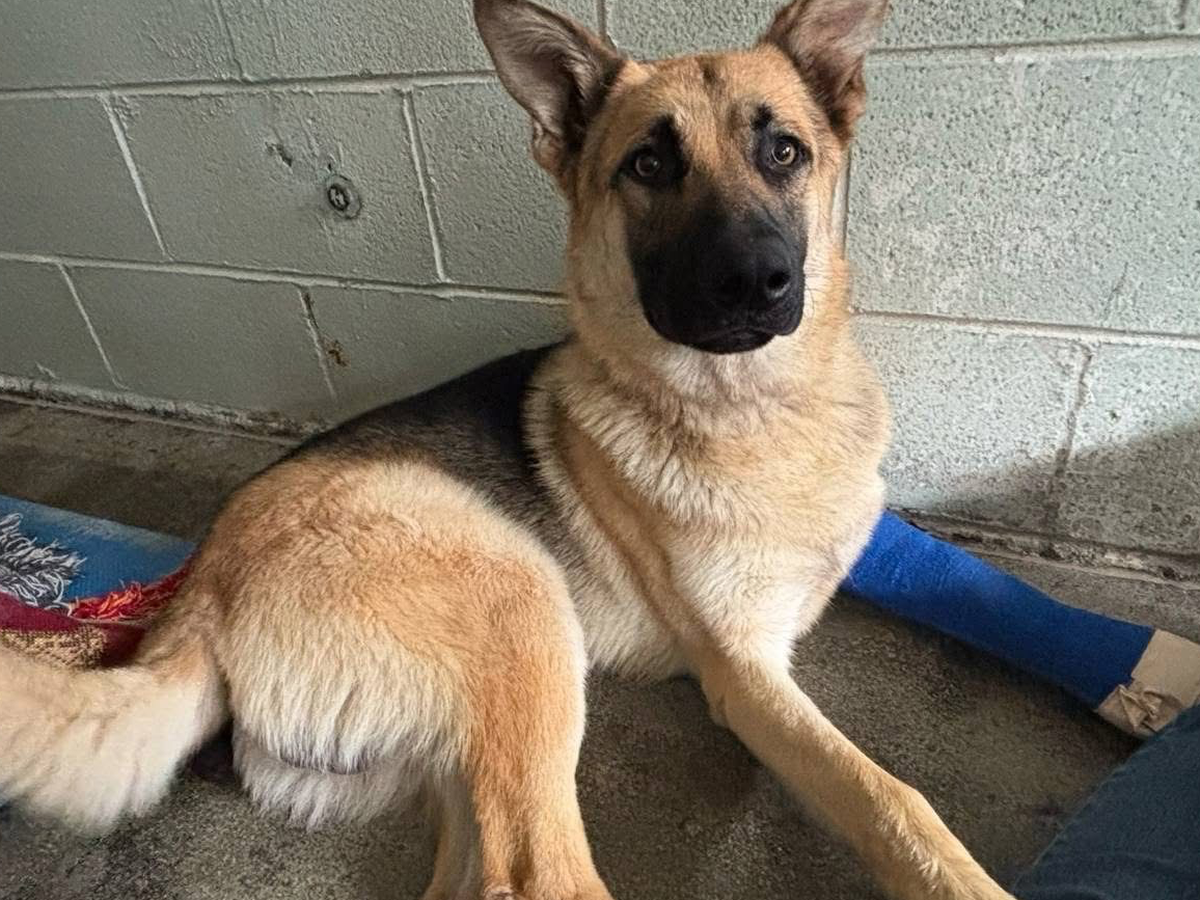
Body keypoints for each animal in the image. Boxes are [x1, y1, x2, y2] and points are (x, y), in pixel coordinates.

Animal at [0, 1, 1016, 898]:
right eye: (650, 163)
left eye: (785, 152)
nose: (755, 281)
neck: (756, 414)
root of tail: (201, 595)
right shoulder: (745, 675)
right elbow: (893, 799)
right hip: (524, 601)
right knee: (538, 875)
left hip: (465, 747)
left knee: (481, 873)